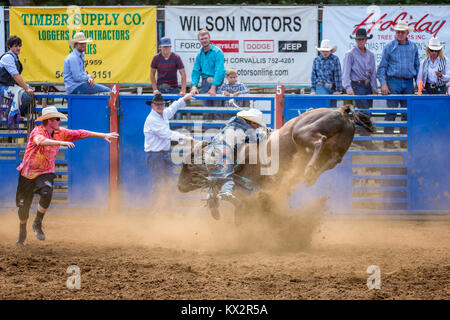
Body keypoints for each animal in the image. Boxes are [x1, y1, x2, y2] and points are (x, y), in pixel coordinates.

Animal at [178, 104, 374, 224]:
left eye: (188, 165)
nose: (179, 186)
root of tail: (341, 110)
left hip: (302, 133)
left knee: (320, 141)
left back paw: (310, 170)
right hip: (338, 146)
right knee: (334, 158)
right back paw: (311, 175)